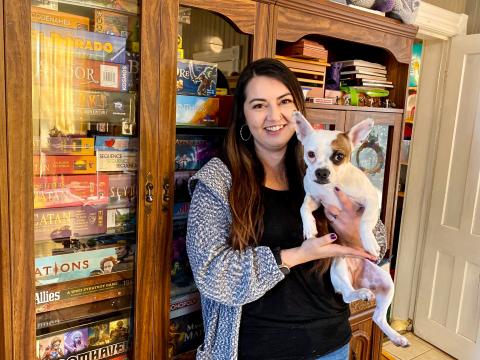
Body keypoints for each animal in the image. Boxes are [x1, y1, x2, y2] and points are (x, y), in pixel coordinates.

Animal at [292, 111, 408, 348]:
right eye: (310, 154)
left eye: (339, 156)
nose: (322, 172)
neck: (332, 186)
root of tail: (359, 279)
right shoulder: (314, 198)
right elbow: (303, 207)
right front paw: (309, 228)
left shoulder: (372, 200)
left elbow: (365, 221)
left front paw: (370, 242)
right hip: (340, 268)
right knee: (347, 295)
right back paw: (360, 293)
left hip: (386, 283)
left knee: (377, 316)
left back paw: (396, 336)